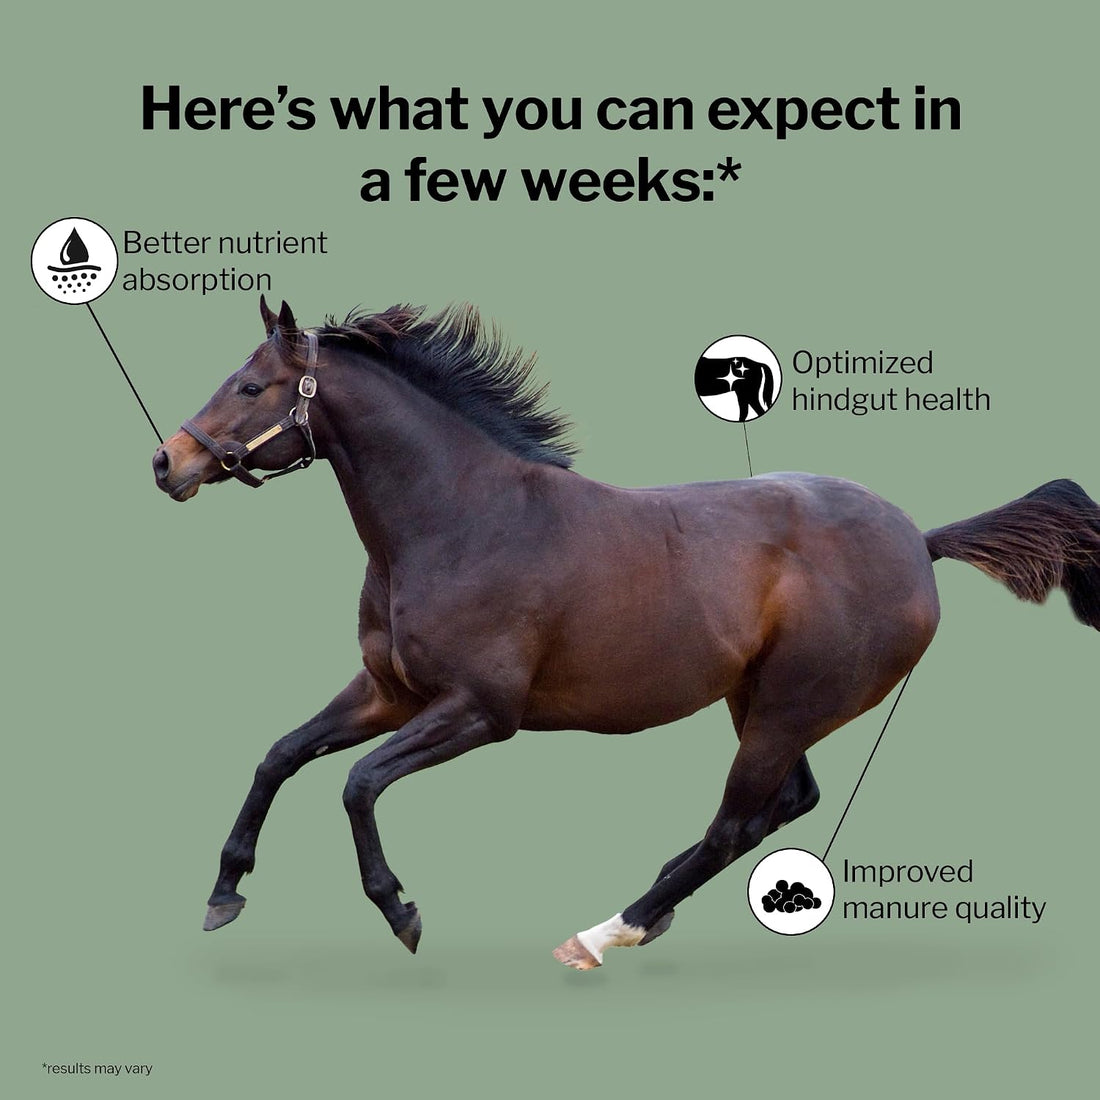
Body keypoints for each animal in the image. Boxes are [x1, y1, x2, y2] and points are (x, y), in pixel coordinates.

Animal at [152, 297, 1100, 970]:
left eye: (250, 387)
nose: (169, 462)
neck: (459, 519)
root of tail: (921, 541)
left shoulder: (480, 711)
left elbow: (355, 784)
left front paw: (400, 911)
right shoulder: (389, 693)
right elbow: (280, 755)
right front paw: (224, 892)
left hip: (789, 707)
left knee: (736, 824)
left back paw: (609, 932)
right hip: (759, 701)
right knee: (784, 804)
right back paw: (657, 906)